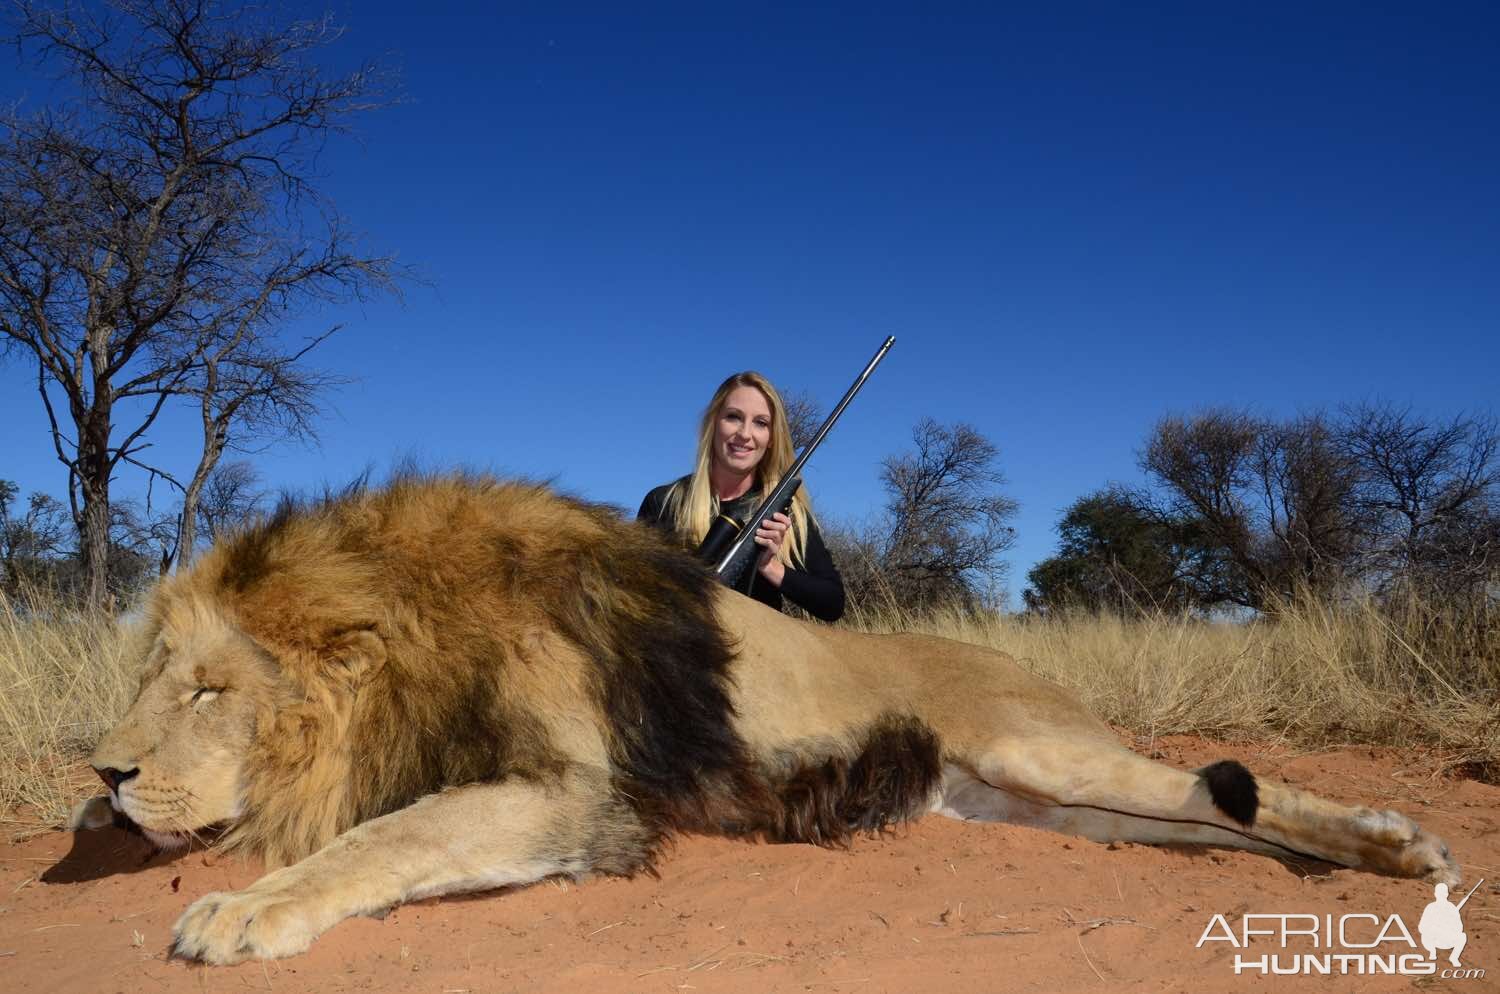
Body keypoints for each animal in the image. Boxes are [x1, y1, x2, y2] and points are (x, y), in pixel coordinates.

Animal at [76, 473, 1458, 965]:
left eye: (209, 689)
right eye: (155, 675)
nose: (106, 767)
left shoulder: (575, 795)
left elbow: (386, 836)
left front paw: (239, 908)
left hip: (1041, 748)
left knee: (1239, 792)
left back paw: (1404, 847)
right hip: (1049, 806)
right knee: (1215, 822)